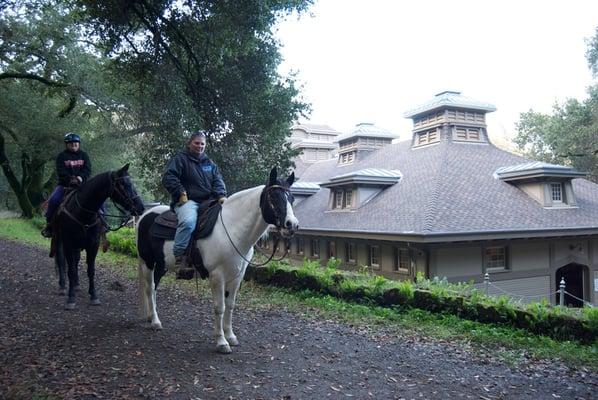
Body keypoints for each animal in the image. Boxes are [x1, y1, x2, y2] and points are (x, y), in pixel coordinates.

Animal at [52, 162, 144, 310]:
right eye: (123, 184)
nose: (140, 207)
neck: (83, 213)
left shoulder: (93, 245)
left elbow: (91, 270)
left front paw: (94, 296)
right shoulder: (69, 243)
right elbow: (70, 269)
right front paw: (71, 298)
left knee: (76, 261)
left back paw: (76, 285)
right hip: (61, 240)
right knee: (61, 260)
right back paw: (62, 286)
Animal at [134, 168, 298, 354]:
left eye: (292, 198)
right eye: (274, 197)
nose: (292, 225)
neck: (232, 229)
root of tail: (145, 216)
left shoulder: (237, 276)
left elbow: (230, 305)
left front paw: (231, 336)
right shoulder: (217, 276)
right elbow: (219, 307)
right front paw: (221, 342)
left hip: (161, 265)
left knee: (154, 288)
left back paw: (151, 317)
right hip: (147, 262)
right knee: (149, 289)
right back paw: (155, 321)